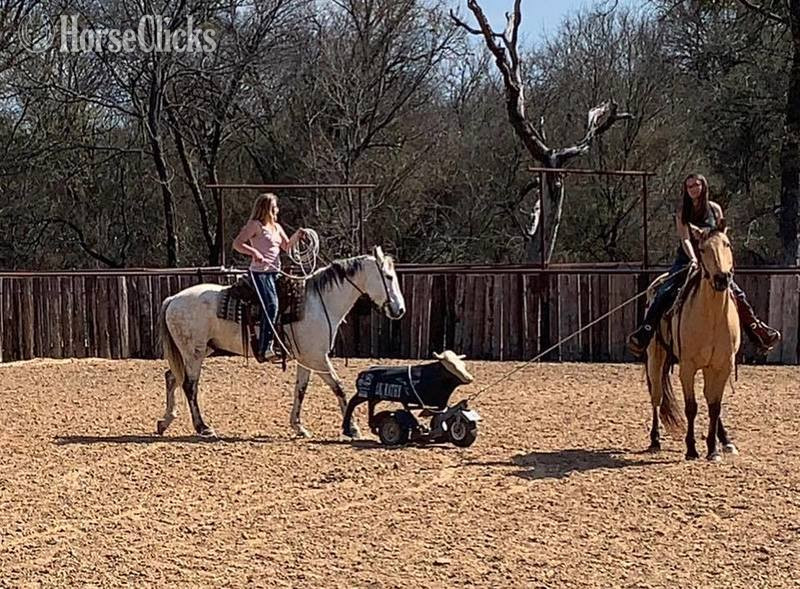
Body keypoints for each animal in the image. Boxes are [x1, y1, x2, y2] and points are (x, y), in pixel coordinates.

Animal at [156, 246, 406, 438]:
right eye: (389, 277)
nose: (400, 310)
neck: (319, 302)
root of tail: (173, 299)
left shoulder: (307, 360)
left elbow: (300, 390)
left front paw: (299, 426)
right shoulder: (318, 358)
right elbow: (338, 387)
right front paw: (351, 428)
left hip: (198, 351)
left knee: (171, 378)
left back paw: (165, 421)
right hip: (194, 353)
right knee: (189, 386)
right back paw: (203, 427)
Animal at [644, 220, 741, 462]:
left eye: (727, 244)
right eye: (703, 249)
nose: (722, 278)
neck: (712, 316)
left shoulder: (722, 366)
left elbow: (714, 406)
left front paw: (713, 449)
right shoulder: (687, 367)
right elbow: (691, 407)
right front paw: (691, 448)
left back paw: (725, 441)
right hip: (655, 357)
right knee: (656, 397)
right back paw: (655, 440)